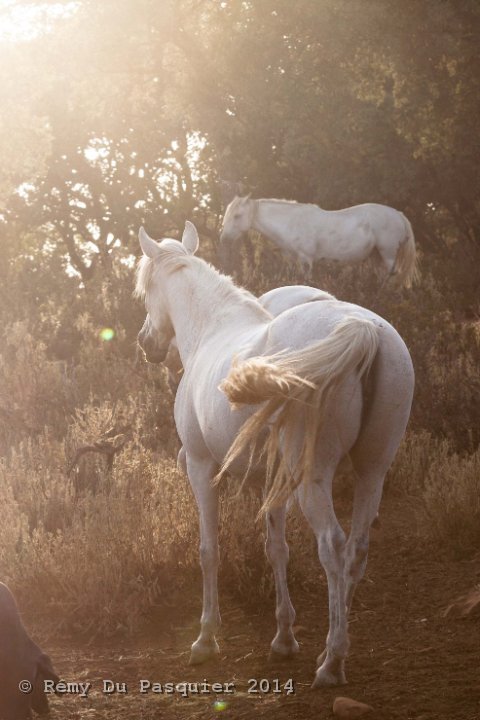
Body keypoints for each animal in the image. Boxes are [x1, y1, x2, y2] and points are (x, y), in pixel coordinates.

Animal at [135, 222, 414, 687]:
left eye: (145, 290)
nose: (146, 343)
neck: (211, 328)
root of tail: (363, 330)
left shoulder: (201, 468)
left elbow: (208, 551)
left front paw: (205, 639)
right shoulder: (271, 479)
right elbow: (276, 548)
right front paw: (284, 639)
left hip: (313, 479)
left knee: (332, 545)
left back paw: (332, 663)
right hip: (372, 471)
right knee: (356, 550)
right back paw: (334, 643)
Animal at [219, 195, 419, 287]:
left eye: (237, 216)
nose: (223, 239)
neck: (292, 222)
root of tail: (398, 215)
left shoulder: (306, 259)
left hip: (388, 254)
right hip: (377, 255)